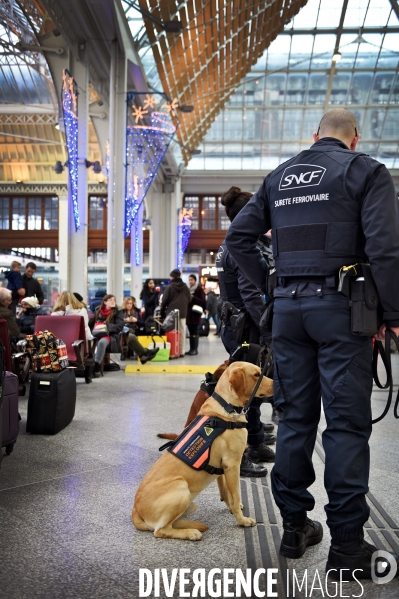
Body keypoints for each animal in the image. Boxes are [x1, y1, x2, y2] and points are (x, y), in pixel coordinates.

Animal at [133, 364, 274, 540]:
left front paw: (232, 509)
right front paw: (242, 521)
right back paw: (190, 532)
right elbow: (235, 496)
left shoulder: (222, 468)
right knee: (160, 530)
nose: (276, 384)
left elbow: (227, 494)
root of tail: (135, 509)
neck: (227, 407)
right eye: (256, 374)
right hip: (182, 488)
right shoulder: (233, 465)